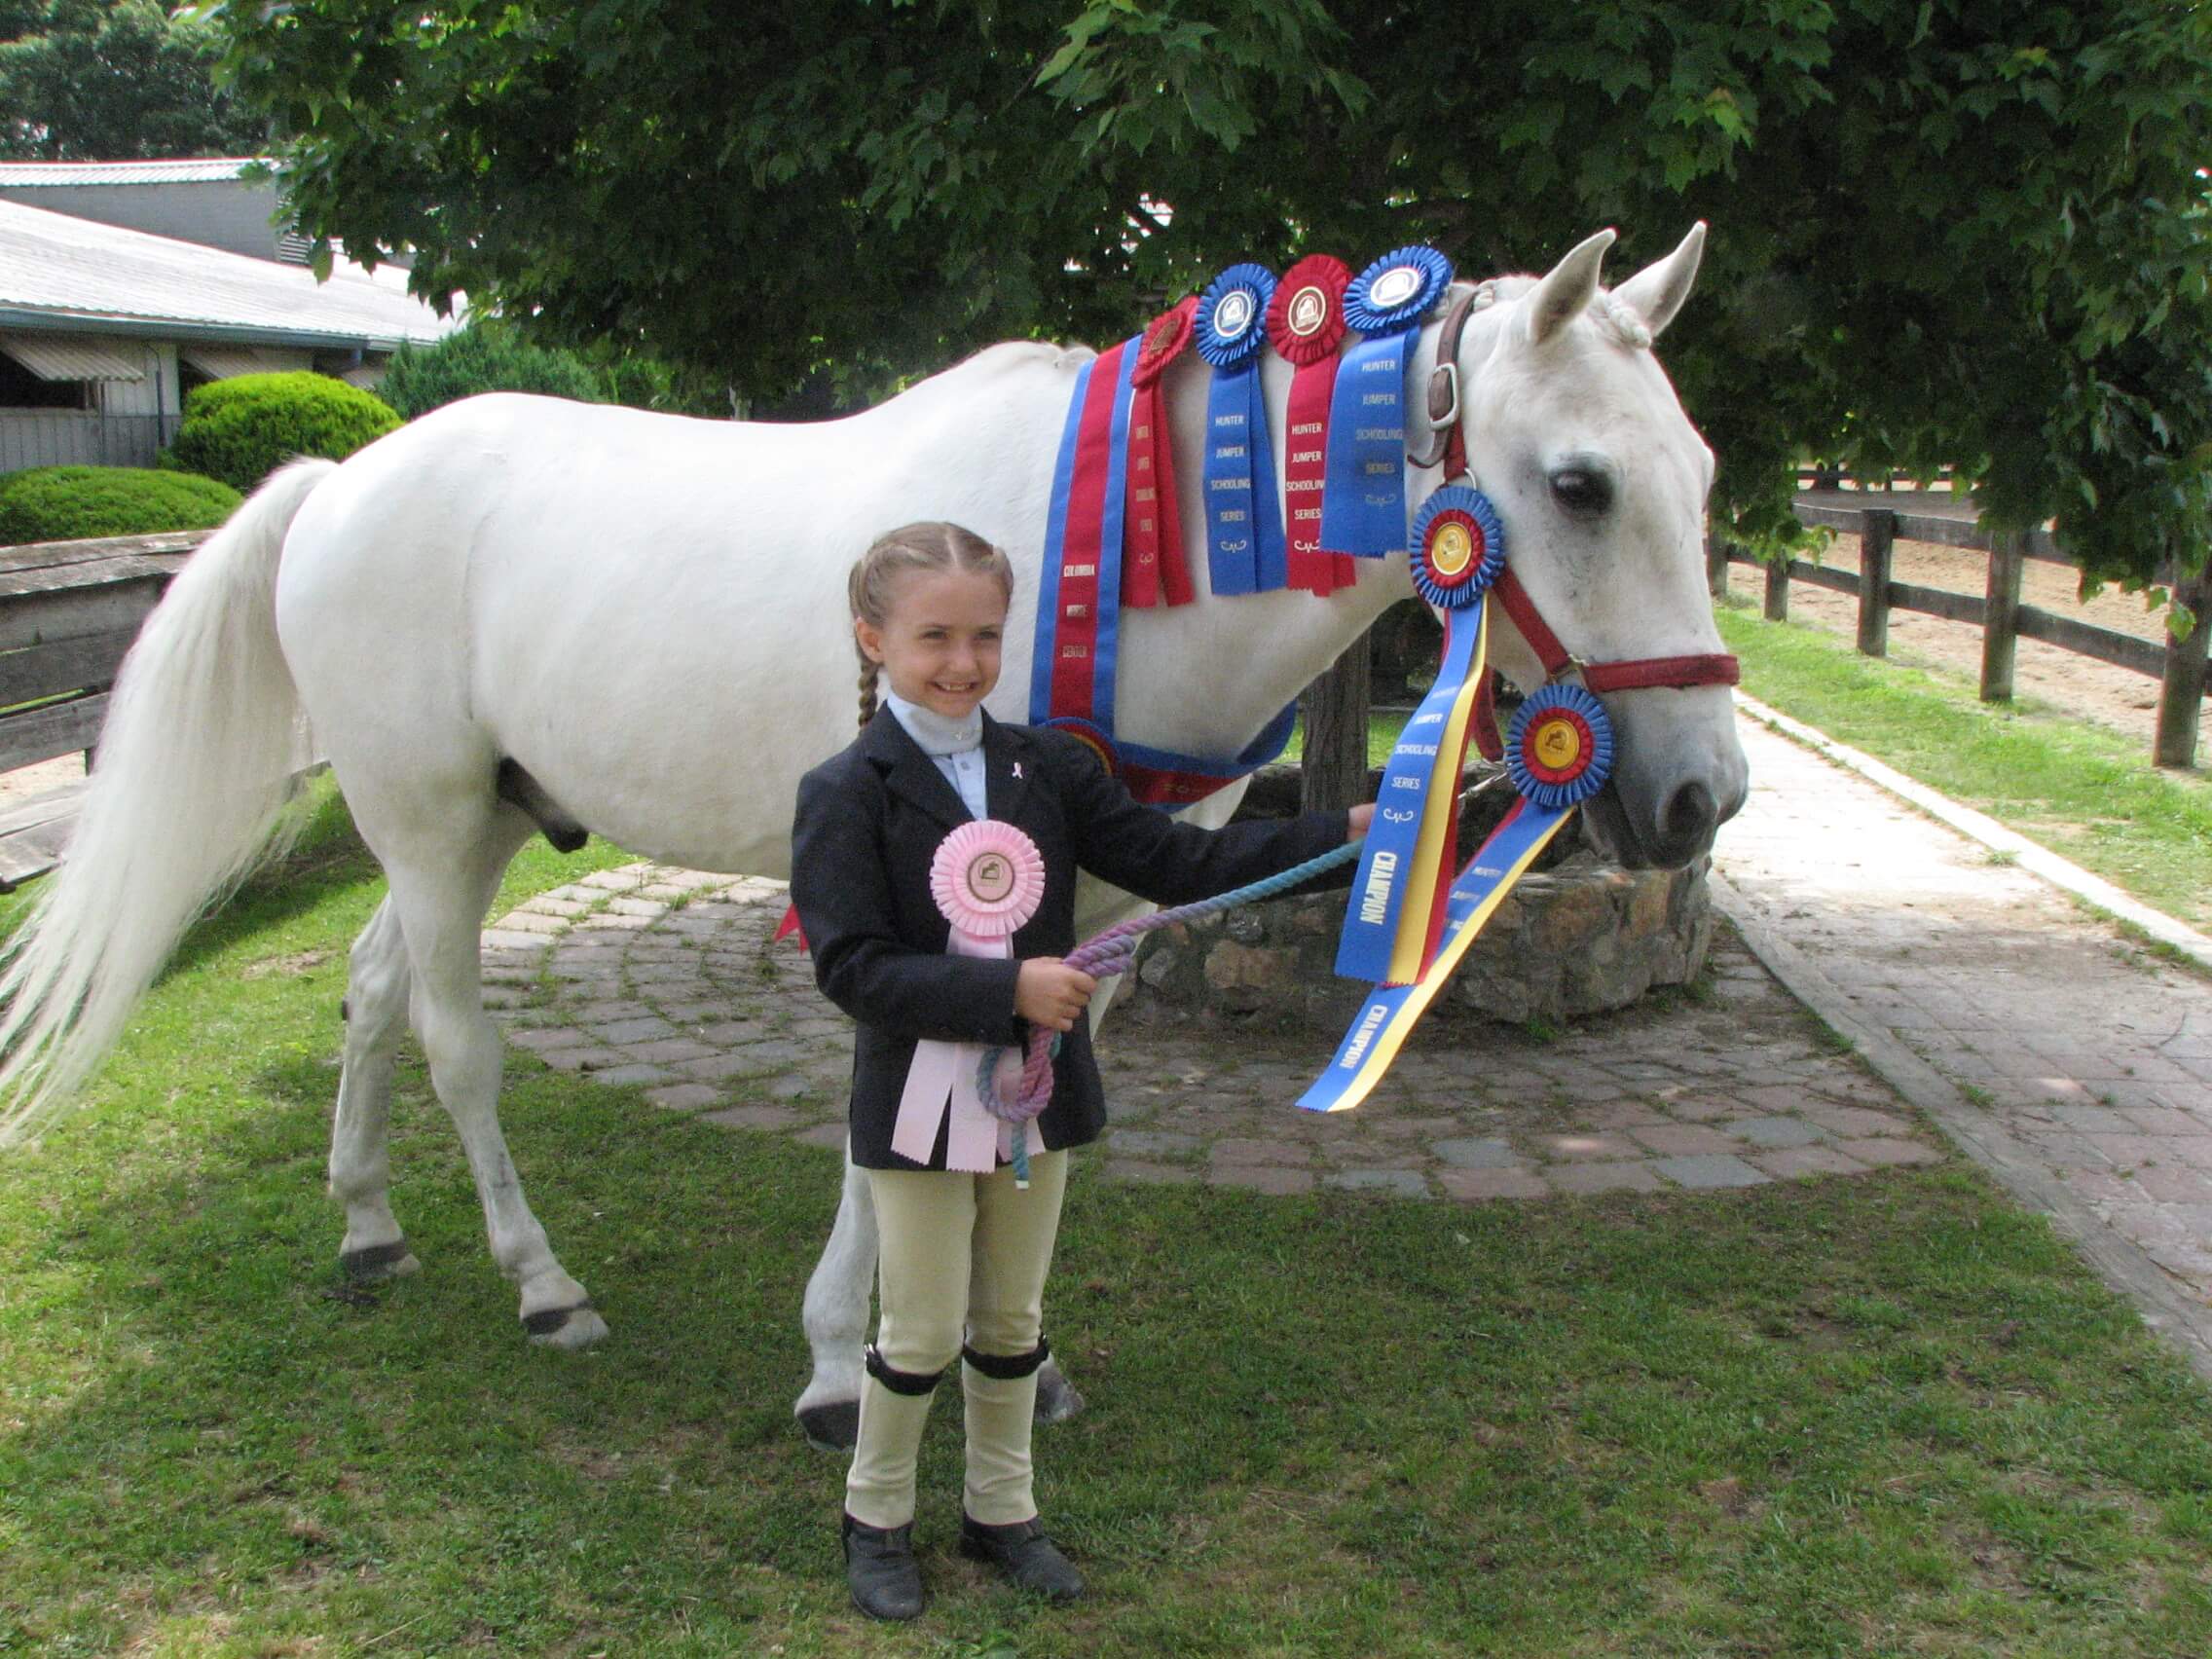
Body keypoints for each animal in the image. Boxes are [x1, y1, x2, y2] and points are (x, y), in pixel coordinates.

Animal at [0, 228, 1743, 1451]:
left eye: (1704, 473)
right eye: (1579, 485)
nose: (1700, 797)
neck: (1120, 561)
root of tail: (339, 482)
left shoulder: (1092, 895)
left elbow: (1028, 1108)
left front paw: (1009, 1355)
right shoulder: (918, 900)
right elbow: (892, 1122)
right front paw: (847, 1363)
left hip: (474, 821)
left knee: (368, 992)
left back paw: (367, 1229)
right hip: (424, 822)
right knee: (448, 1037)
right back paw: (542, 1284)